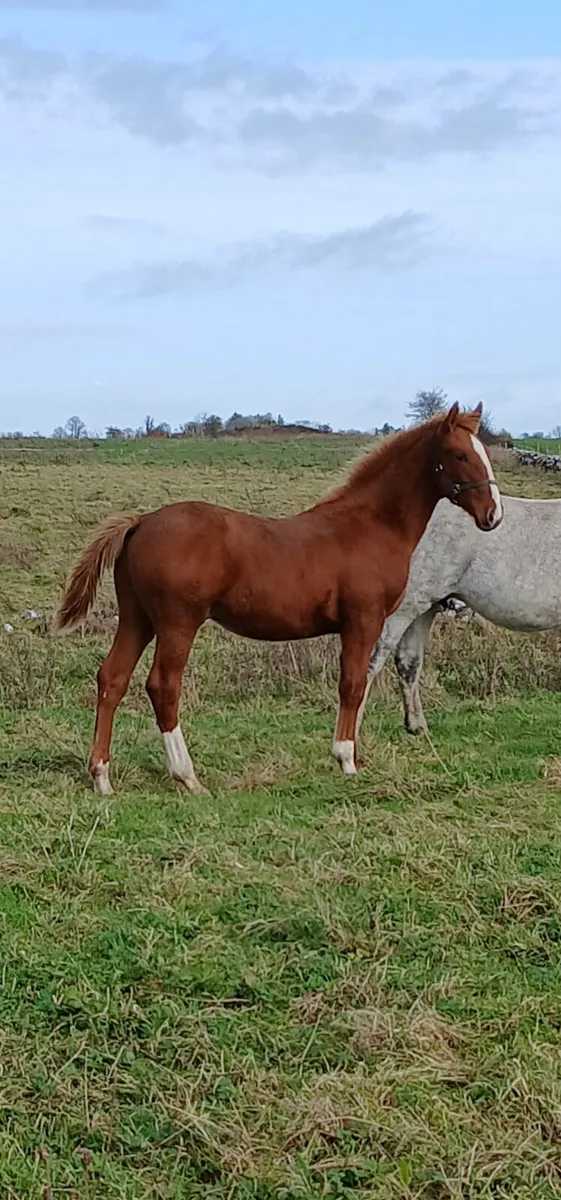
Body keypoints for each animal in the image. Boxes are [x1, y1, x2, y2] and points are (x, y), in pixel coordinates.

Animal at [55, 403, 502, 796]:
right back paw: (188, 777)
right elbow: (353, 685)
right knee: (163, 685)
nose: (493, 516)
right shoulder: (363, 620)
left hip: (137, 619)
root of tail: (141, 521)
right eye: (460, 454)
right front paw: (347, 760)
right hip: (177, 623)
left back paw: (102, 777)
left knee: (112, 679)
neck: (371, 526)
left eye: (484, 452)